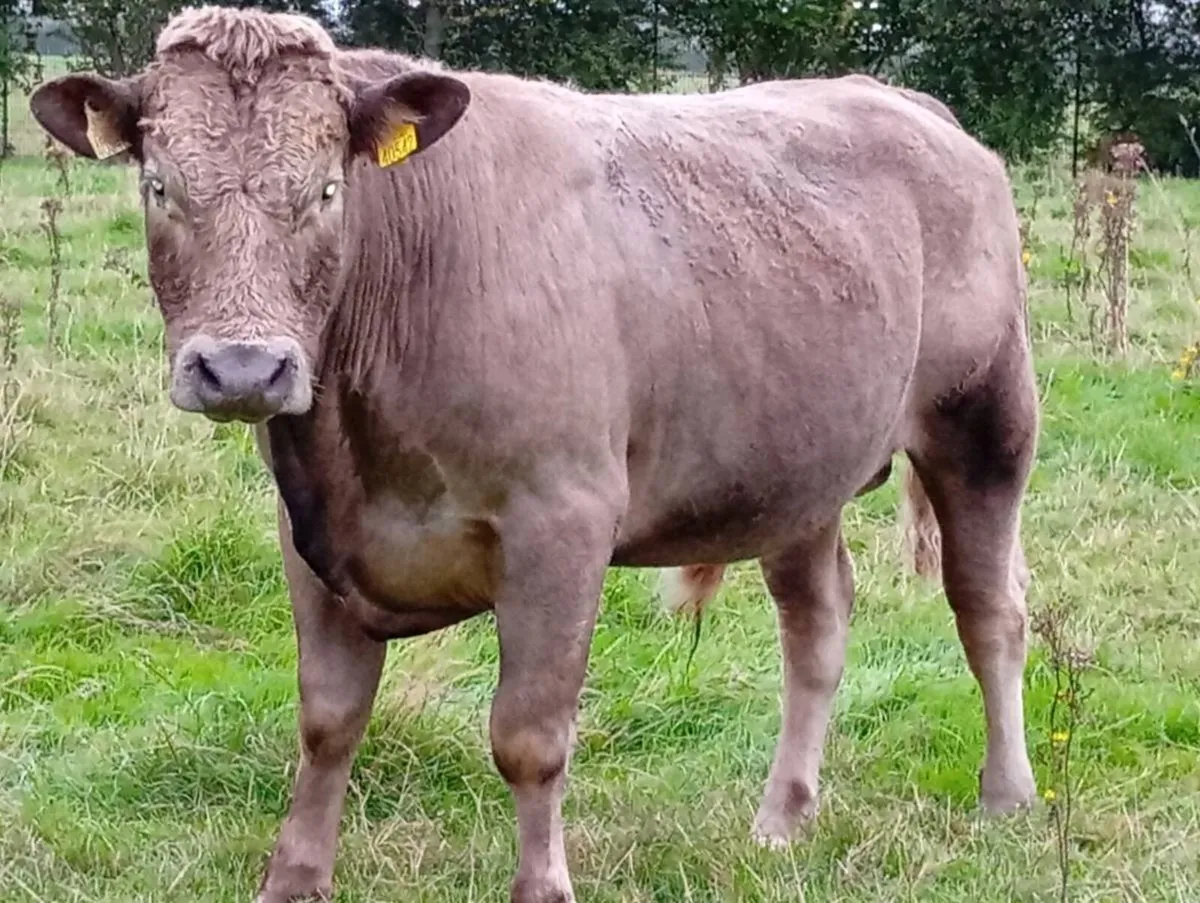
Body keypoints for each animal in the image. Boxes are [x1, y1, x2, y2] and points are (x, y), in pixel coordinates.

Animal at [29, 6, 1040, 901]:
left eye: (325, 192)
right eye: (161, 187)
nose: (243, 367)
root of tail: (900, 98)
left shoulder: (562, 523)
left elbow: (528, 736)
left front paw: (542, 885)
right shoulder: (309, 532)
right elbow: (326, 721)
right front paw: (295, 879)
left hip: (987, 424)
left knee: (989, 610)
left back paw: (1007, 796)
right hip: (796, 471)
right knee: (818, 627)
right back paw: (782, 818)